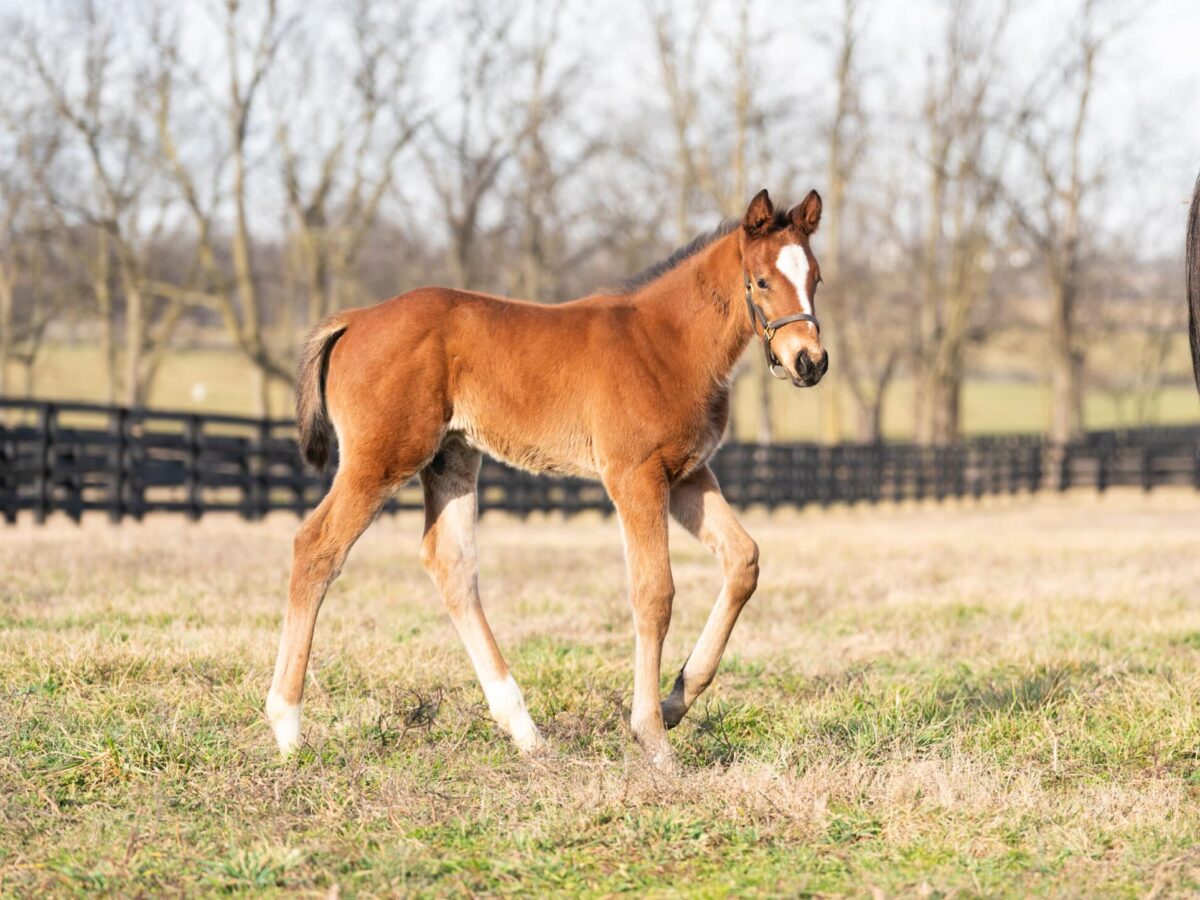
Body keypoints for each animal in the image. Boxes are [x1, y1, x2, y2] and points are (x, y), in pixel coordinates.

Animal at [267, 190, 825, 768]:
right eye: (761, 280)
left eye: (816, 278)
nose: (809, 362)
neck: (666, 342)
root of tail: (355, 319)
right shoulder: (635, 475)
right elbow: (655, 593)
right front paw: (653, 737)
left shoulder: (687, 474)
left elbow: (743, 561)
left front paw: (676, 701)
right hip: (382, 457)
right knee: (317, 546)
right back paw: (288, 728)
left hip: (453, 457)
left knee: (451, 565)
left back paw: (526, 733)